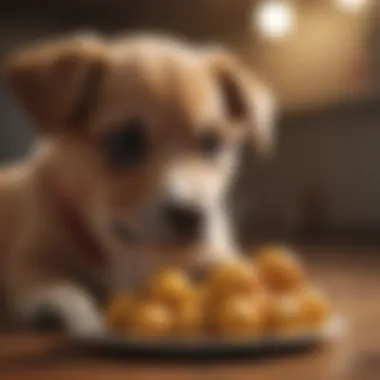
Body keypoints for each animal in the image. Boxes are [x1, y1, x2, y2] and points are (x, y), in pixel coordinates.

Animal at [0, 33, 274, 336]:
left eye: (212, 142)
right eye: (125, 142)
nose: (192, 215)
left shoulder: (214, 247)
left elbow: (228, 264)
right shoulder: (30, 259)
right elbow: (57, 285)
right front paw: (73, 308)